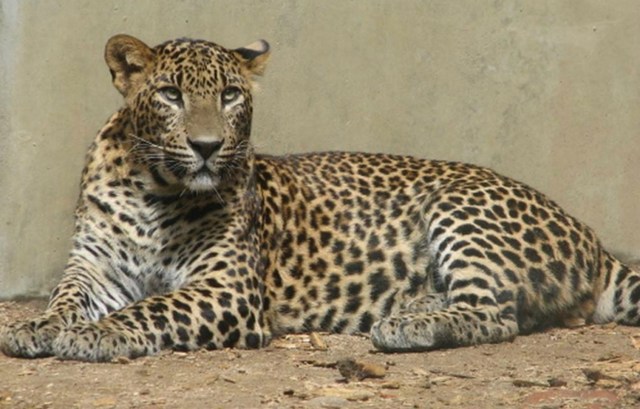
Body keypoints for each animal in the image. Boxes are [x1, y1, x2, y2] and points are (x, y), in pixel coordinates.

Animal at [1, 34, 639, 362]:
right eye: (170, 95)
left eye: (230, 95)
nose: (207, 147)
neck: (152, 189)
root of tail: (592, 239)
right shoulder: (96, 268)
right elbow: (65, 297)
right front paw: (38, 327)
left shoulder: (229, 290)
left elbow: (155, 306)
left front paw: (96, 334)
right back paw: (409, 308)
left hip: (461, 209)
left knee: (497, 315)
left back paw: (409, 328)